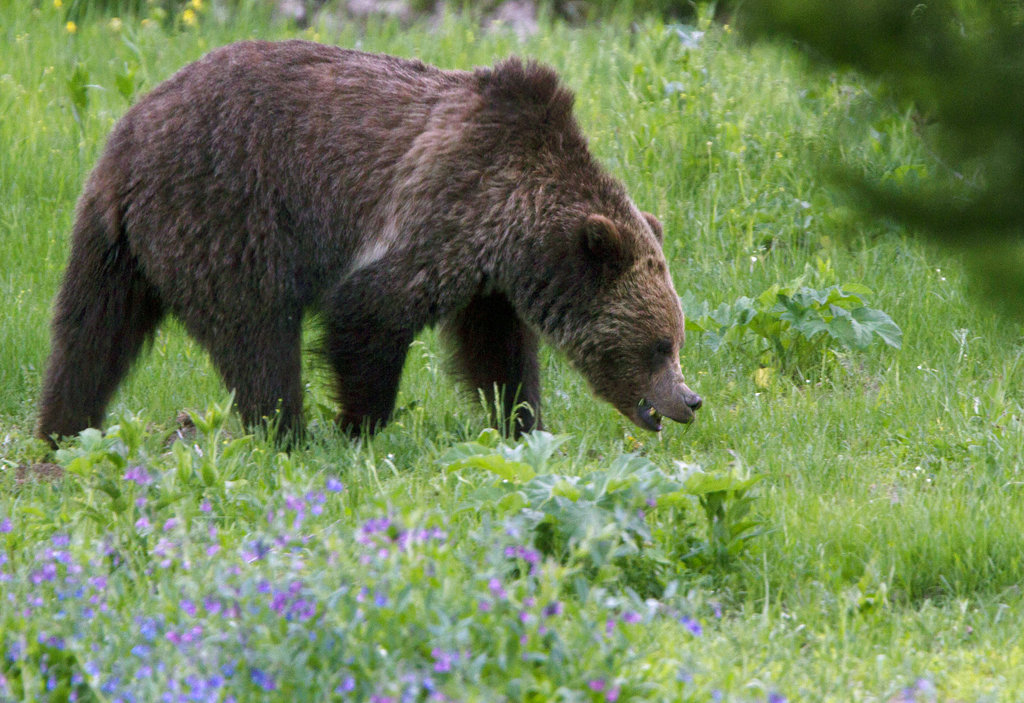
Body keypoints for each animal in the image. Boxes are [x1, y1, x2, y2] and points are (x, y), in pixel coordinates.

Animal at [37, 40, 702, 446]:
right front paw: (360, 427)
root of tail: (127, 141)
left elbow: (497, 351)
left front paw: (521, 422)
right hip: (225, 215)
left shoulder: (488, 277)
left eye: (674, 339)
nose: (689, 399)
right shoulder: (444, 206)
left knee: (90, 336)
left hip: (116, 246)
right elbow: (369, 312)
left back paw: (62, 432)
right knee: (258, 336)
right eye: (659, 345)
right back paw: (287, 433)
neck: (518, 225)